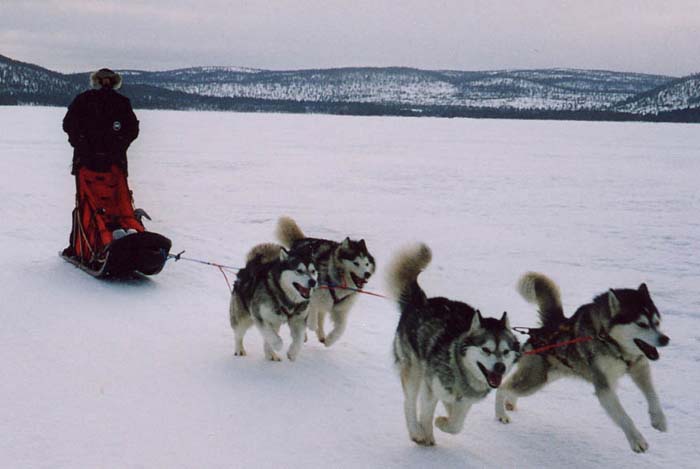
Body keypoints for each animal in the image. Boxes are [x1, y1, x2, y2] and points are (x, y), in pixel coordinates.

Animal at [274, 218, 374, 346]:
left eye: (366, 263)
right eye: (356, 263)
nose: (367, 274)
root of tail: (300, 241)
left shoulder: (341, 308)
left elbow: (341, 327)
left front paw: (330, 340)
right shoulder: (314, 294)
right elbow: (312, 310)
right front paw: (311, 324)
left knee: (320, 317)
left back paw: (321, 335)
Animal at [388, 243, 520, 444]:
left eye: (505, 352)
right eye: (486, 349)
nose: (500, 367)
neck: (460, 369)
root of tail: (421, 301)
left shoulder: (465, 401)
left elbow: (456, 425)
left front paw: (443, 422)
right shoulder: (430, 388)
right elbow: (427, 414)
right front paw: (427, 434)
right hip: (413, 370)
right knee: (409, 402)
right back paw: (415, 431)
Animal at [494, 272, 668, 452]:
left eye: (657, 322)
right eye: (642, 324)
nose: (665, 339)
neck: (610, 341)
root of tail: (548, 327)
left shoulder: (640, 366)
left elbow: (652, 394)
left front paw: (659, 419)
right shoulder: (604, 386)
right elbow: (623, 416)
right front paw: (636, 439)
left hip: (545, 377)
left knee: (512, 386)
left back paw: (510, 402)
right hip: (535, 379)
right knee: (502, 387)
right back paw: (501, 414)